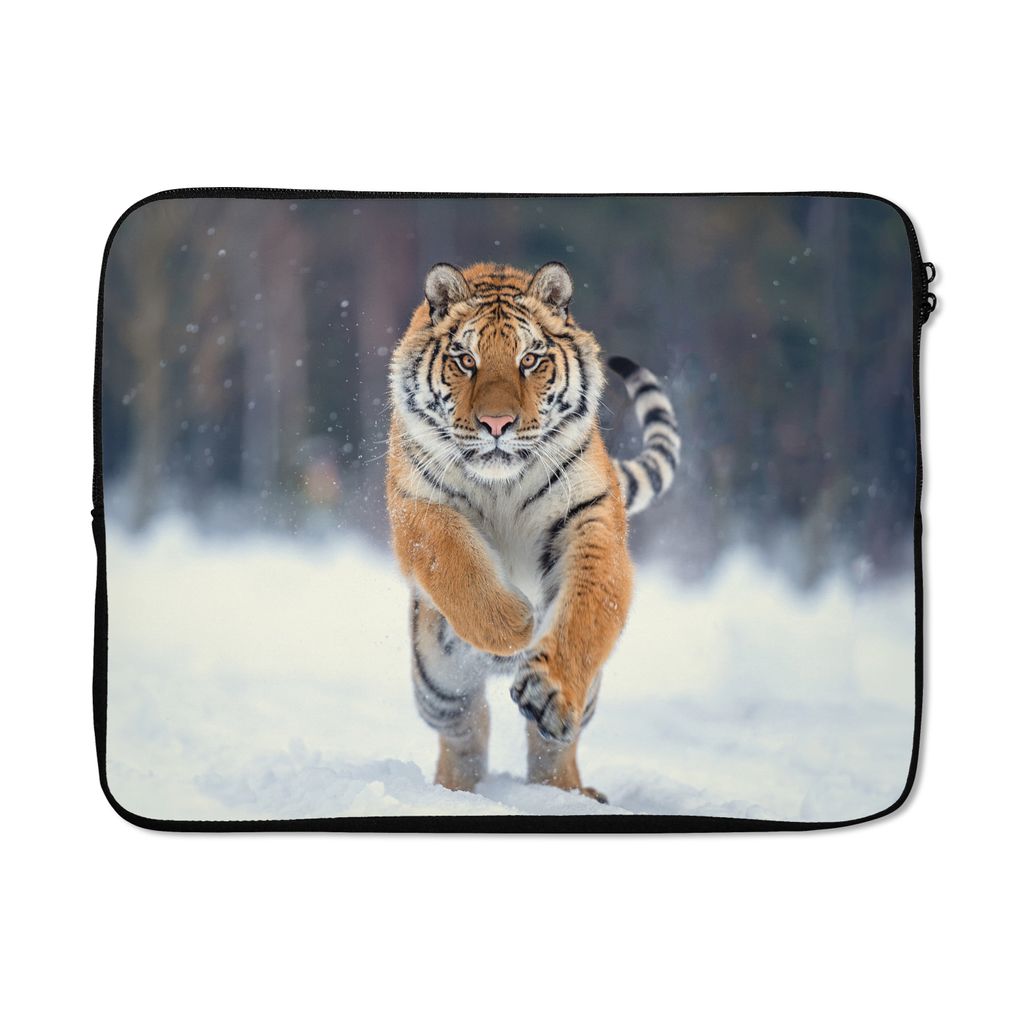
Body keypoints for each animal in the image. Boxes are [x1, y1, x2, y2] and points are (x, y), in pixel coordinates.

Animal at [386, 261, 680, 803]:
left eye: (529, 360)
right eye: (466, 359)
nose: (497, 423)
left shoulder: (591, 518)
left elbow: (588, 609)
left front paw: (549, 689)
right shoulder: (419, 506)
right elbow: (456, 564)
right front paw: (515, 623)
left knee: (551, 746)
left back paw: (568, 793)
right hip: (438, 683)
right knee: (467, 729)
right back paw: (455, 792)